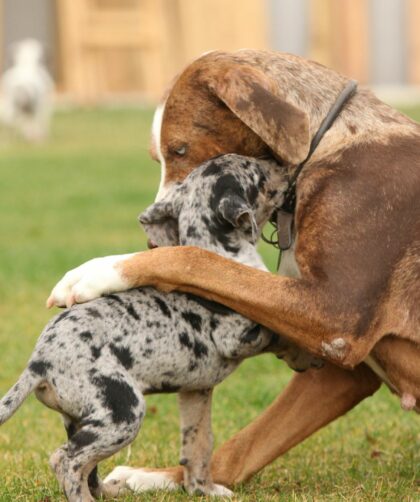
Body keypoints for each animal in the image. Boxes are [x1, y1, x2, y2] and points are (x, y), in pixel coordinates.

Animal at [0, 154, 318, 502]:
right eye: (259, 174)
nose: (287, 165)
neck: (220, 252)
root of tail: (38, 363)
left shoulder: (196, 392)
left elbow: (198, 446)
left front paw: (204, 489)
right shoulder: (239, 335)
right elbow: (278, 332)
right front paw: (305, 352)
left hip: (82, 419)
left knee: (87, 468)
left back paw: (111, 489)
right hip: (122, 413)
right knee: (67, 460)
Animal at [46, 50, 420, 490]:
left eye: (180, 150)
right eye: (159, 157)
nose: (153, 234)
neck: (329, 142)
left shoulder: (335, 317)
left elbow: (195, 258)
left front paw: (99, 271)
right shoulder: (342, 372)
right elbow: (247, 444)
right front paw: (164, 477)